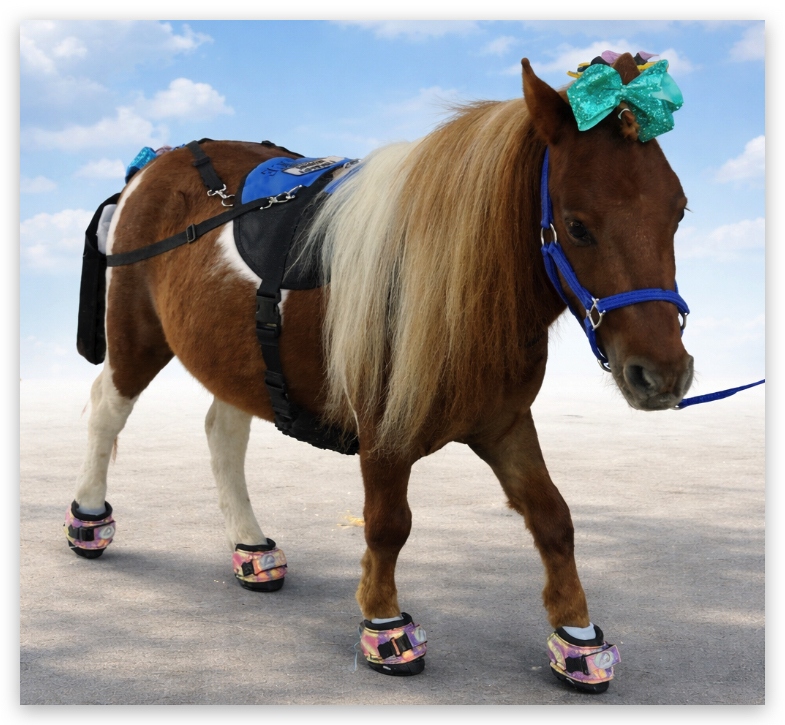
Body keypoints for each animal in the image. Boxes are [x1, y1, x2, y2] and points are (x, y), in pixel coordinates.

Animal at [65, 53, 693, 692]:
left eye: (678, 212)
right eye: (577, 224)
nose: (663, 374)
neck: (454, 277)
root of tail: (157, 162)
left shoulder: (505, 423)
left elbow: (553, 517)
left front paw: (578, 638)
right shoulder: (385, 432)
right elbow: (389, 524)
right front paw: (386, 627)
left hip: (231, 351)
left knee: (223, 432)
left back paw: (250, 547)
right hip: (138, 334)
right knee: (108, 410)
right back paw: (89, 520)